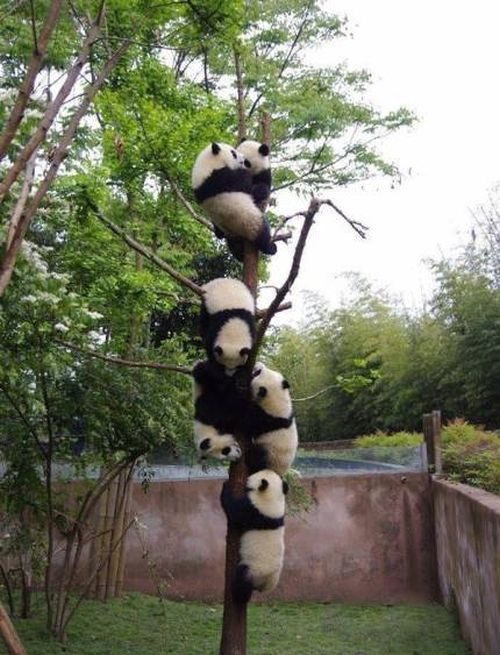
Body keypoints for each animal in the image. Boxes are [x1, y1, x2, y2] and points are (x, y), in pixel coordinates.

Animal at [220, 469, 287, 603]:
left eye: (250, 478)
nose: (246, 479)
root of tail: (264, 586)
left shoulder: (254, 511)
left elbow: (234, 510)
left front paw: (225, 486)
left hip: (255, 571)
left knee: (242, 578)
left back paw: (238, 597)